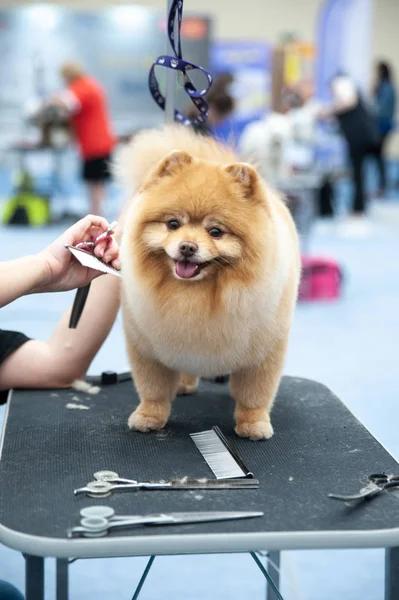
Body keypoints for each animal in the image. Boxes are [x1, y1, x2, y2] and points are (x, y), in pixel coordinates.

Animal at [118, 123, 300, 440]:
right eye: (173, 224)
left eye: (216, 231)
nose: (187, 247)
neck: (196, 296)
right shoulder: (146, 346)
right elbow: (153, 388)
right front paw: (149, 417)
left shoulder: (264, 352)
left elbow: (255, 393)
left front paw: (253, 424)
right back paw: (183, 384)